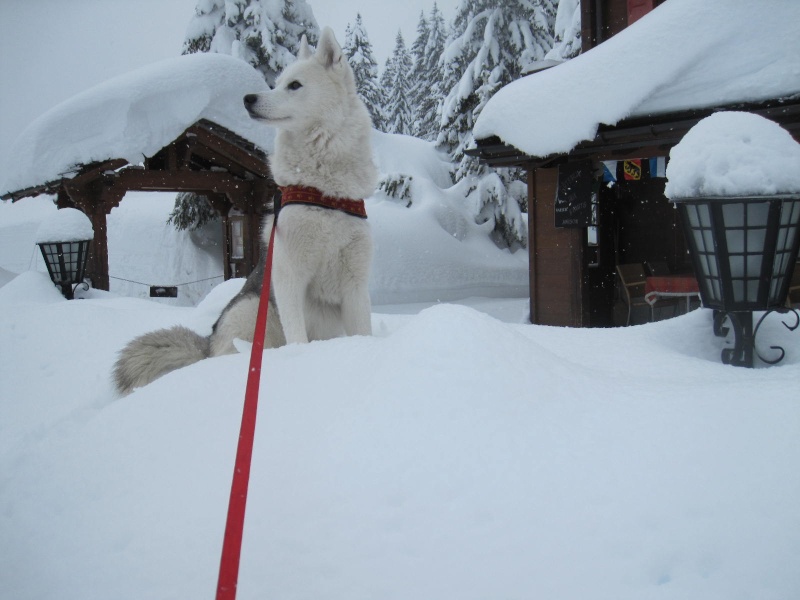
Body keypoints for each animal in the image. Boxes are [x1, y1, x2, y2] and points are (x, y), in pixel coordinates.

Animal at [113, 28, 378, 396]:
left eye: (294, 85)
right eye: (276, 82)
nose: (249, 98)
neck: (325, 192)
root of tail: (207, 344)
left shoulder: (355, 284)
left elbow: (363, 331)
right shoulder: (288, 276)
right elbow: (298, 335)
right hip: (253, 308)